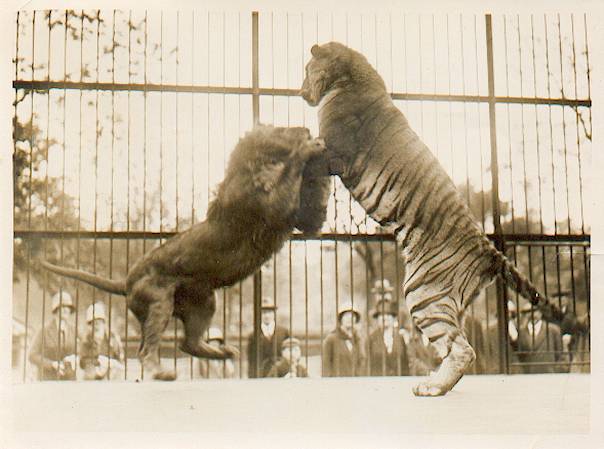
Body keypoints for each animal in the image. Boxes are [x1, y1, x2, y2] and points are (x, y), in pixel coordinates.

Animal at [300, 40, 560, 394]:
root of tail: (489, 250)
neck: (348, 76)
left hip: (422, 294)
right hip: (448, 302)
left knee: (463, 350)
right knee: (456, 345)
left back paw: (432, 387)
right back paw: (437, 381)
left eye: (306, 70)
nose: (300, 90)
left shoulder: (333, 151)